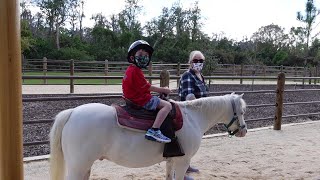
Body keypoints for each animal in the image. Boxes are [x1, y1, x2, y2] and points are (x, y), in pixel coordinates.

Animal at [49, 93, 248, 180]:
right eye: (242, 111)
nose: (244, 130)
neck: (193, 116)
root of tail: (72, 112)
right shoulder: (183, 162)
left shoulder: (171, 160)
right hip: (77, 167)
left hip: (84, 167)